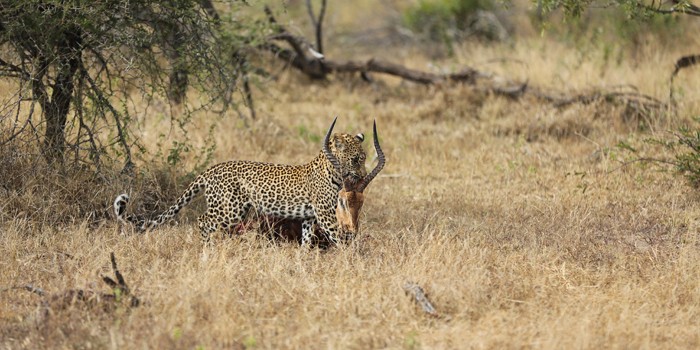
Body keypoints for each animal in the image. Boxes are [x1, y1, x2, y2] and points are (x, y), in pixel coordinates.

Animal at [117, 116, 386, 245]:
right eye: (355, 159)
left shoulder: (309, 218)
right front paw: (352, 263)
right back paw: (207, 254)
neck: (331, 169)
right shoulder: (325, 214)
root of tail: (211, 169)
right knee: (203, 221)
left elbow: (306, 241)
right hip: (229, 209)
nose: (362, 175)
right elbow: (340, 240)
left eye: (364, 157)